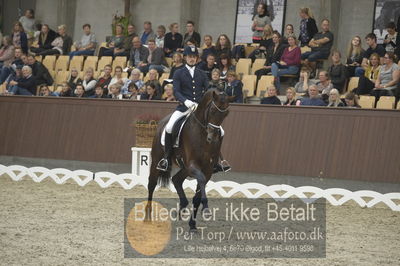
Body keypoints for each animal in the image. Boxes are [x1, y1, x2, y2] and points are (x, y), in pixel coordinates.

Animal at [146, 90, 234, 231]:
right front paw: (206, 209)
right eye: (213, 110)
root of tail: (162, 122)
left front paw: (192, 225)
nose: (214, 138)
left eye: (226, 113)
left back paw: (182, 207)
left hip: (185, 168)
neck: (202, 135)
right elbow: (201, 181)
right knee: (151, 185)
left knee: (176, 180)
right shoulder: (194, 166)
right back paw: (148, 217)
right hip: (157, 161)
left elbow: (197, 195)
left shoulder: (207, 169)